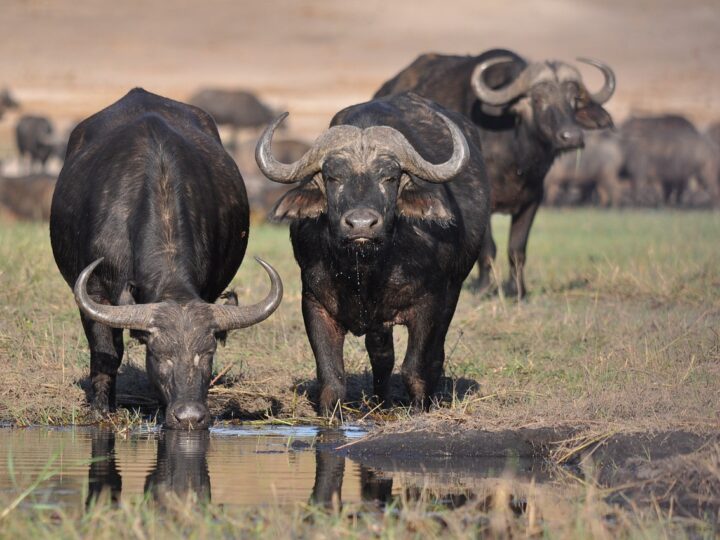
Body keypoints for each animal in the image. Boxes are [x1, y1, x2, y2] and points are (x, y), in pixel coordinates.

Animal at [49, 90, 282, 432]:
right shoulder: (94, 292)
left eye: (207, 353)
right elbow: (106, 352)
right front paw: (101, 411)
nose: (190, 416)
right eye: (159, 355)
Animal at [255, 93, 490, 414]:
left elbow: (415, 367)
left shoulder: (430, 304)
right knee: (382, 355)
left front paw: (420, 408)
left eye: (390, 177)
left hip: (452, 292)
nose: (361, 224)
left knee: (432, 354)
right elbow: (331, 376)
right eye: (333, 177)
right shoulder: (315, 303)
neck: (366, 269)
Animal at [374, 48, 616, 298]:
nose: (572, 136)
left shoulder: (533, 199)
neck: (515, 153)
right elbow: (487, 249)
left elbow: (517, 249)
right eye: (538, 99)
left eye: (573, 101)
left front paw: (518, 291)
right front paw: (483, 288)